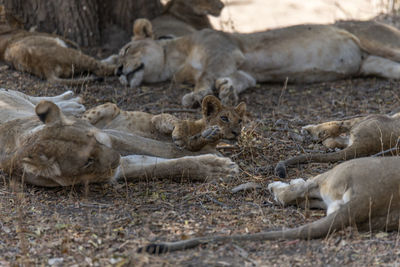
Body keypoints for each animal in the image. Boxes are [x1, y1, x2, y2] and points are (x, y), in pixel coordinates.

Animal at [82, 96, 245, 153]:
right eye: (224, 118)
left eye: (240, 121)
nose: (237, 133)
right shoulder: (157, 118)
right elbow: (177, 121)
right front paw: (180, 136)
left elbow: (194, 143)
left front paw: (210, 134)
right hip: (111, 106)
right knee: (81, 119)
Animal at [118, 18, 400, 109]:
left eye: (126, 50)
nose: (119, 71)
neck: (175, 62)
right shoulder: (244, 71)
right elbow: (236, 80)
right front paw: (227, 92)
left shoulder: (223, 51)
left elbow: (205, 76)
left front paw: (196, 96)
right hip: (376, 63)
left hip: (376, 40)